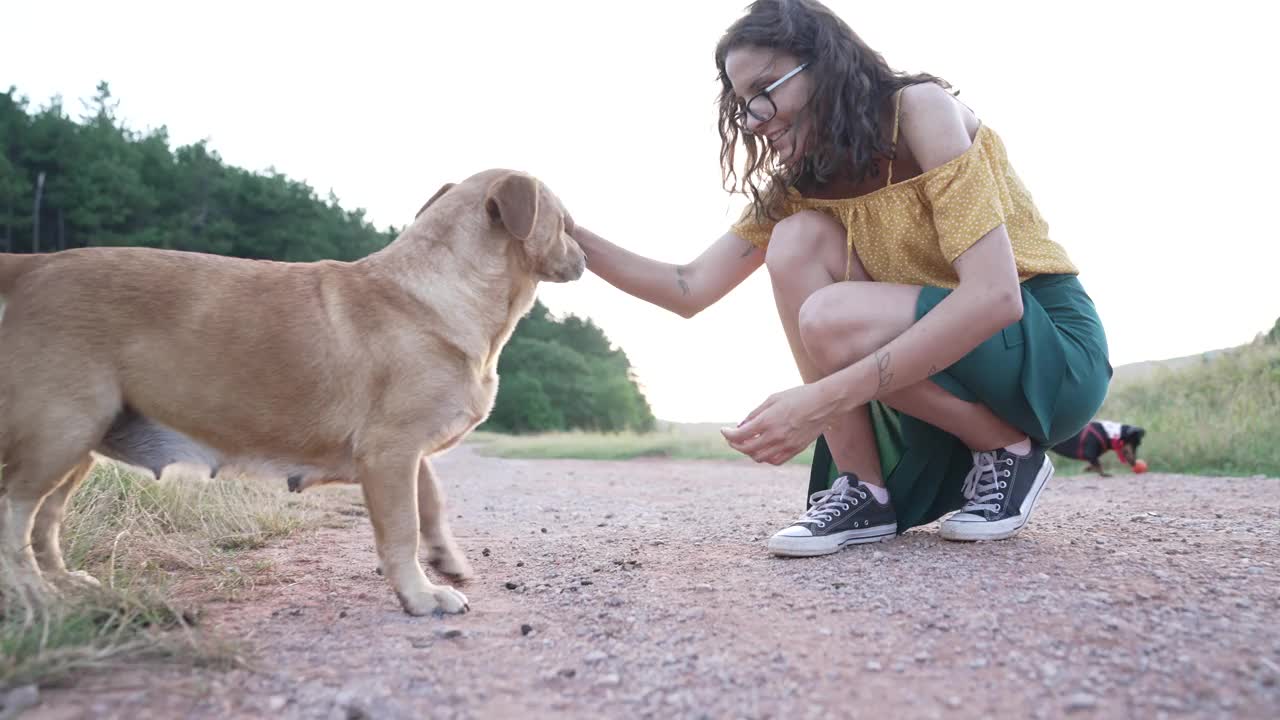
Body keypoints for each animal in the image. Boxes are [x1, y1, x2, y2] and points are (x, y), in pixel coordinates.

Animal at [0, 166, 586, 609]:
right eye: (566, 222)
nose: (584, 257)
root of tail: (34, 266)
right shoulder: (390, 451)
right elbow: (402, 530)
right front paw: (421, 596)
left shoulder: (406, 452)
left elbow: (431, 501)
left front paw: (445, 559)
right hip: (60, 431)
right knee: (15, 516)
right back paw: (35, 595)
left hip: (81, 444)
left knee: (46, 521)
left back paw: (65, 582)